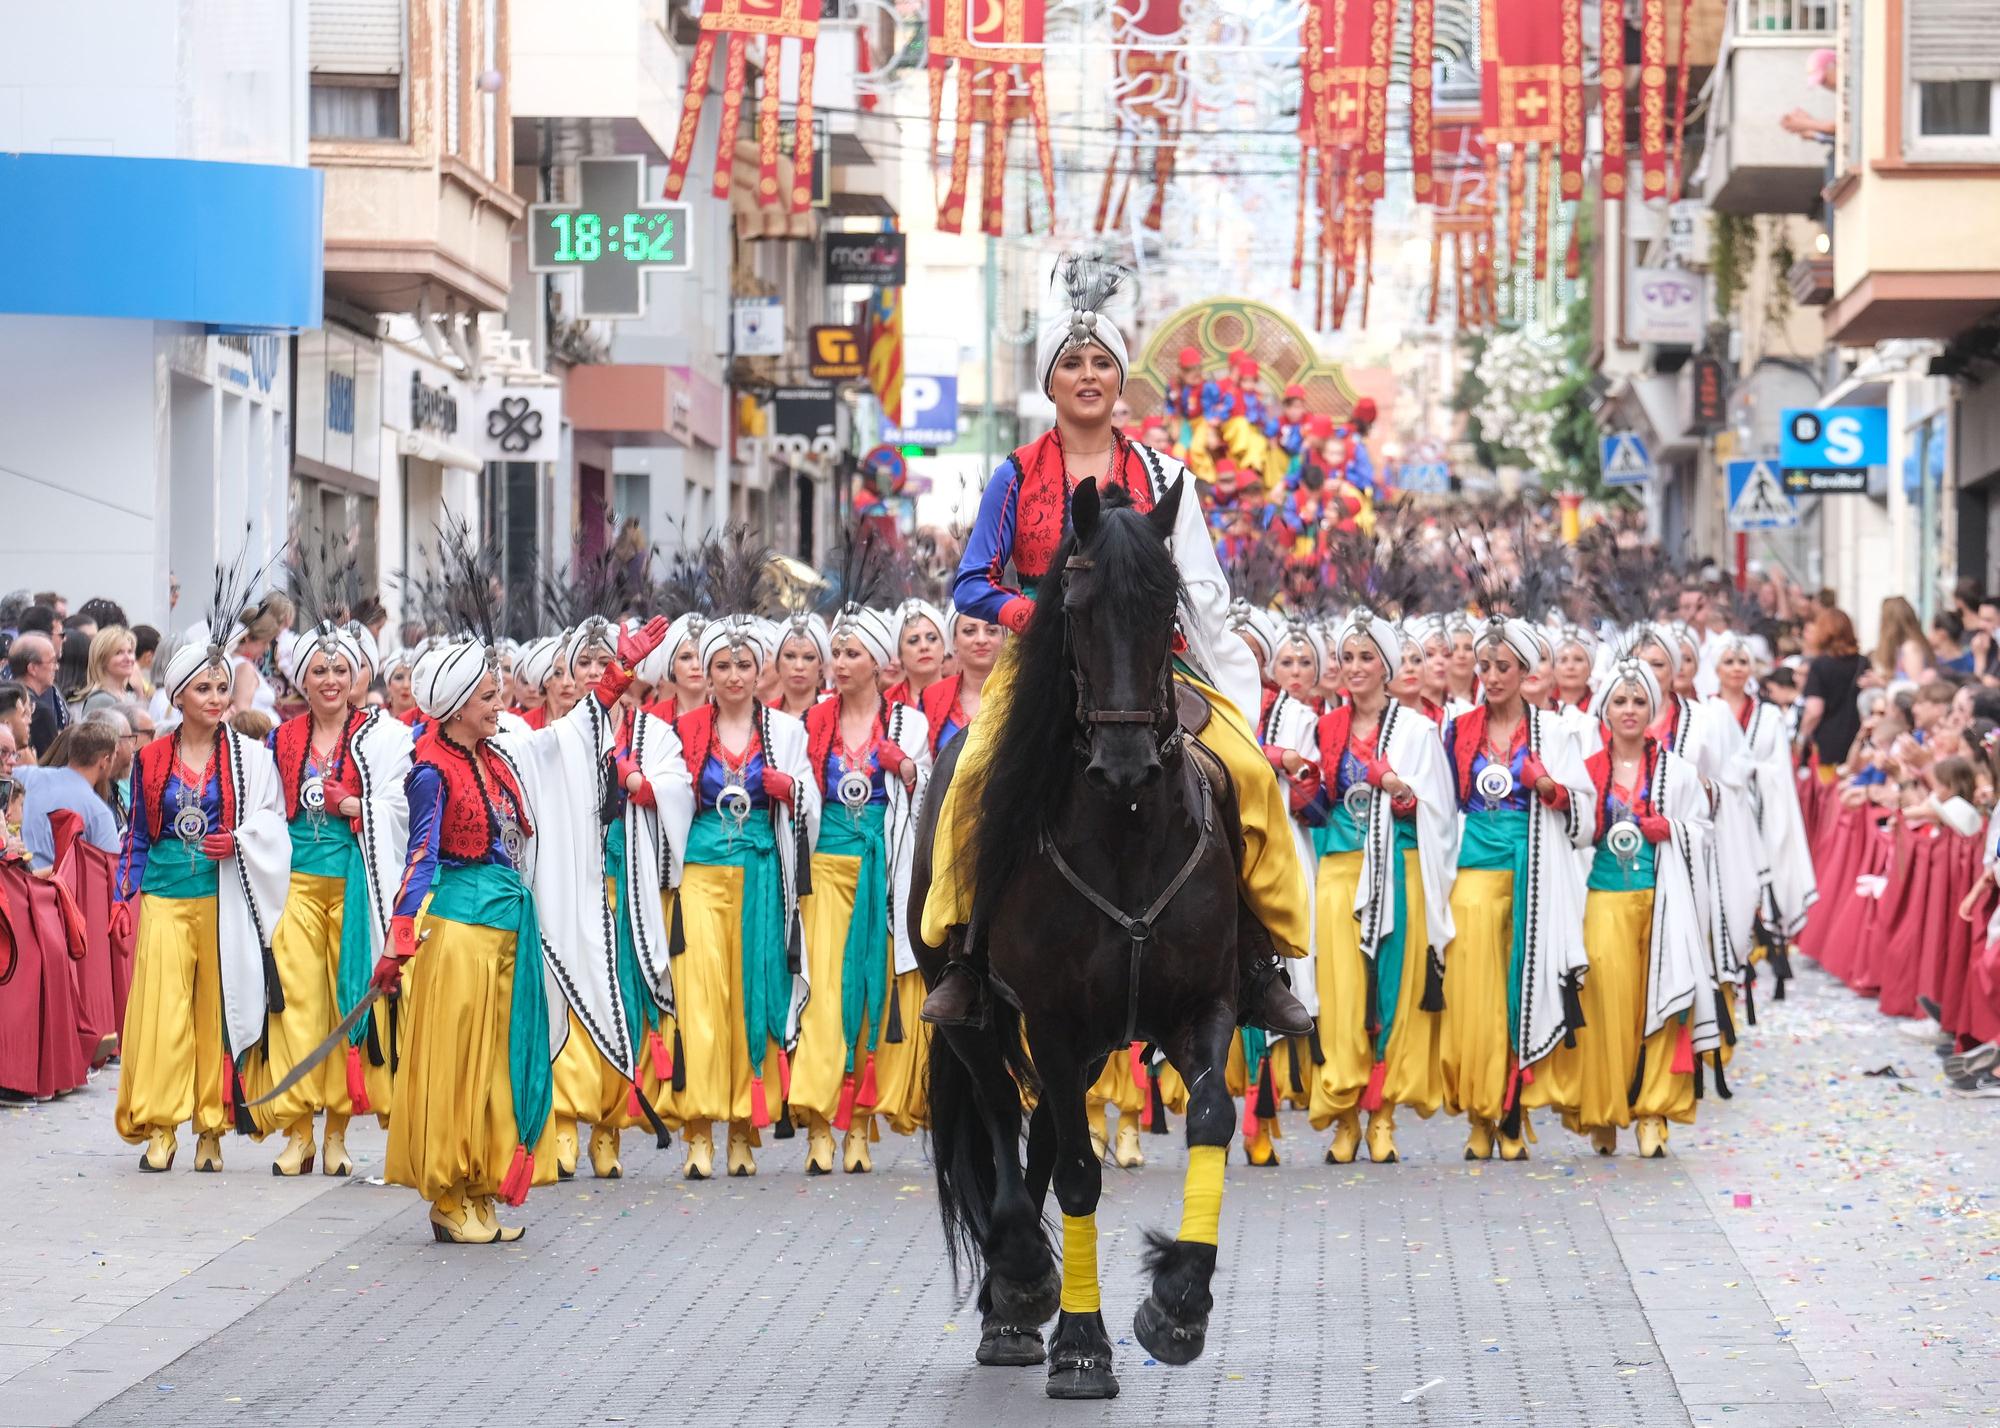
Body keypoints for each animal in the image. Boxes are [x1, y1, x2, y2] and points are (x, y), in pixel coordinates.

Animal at [916, 472, 1240, 1400]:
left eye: (1167, 604)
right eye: (1077, 604)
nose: (1126, 761)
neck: (1127, 830)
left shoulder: (1203, 1005)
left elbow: (1211, 1116)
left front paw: (1177, 1303)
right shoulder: (1052, 1019)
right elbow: (1077, 1175)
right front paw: (1086, 1344)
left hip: (1096, 1043)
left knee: (1046, 1134)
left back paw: (1019, 1303)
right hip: (975, 1009)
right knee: (1000, 1111)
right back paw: (1019, 1281)